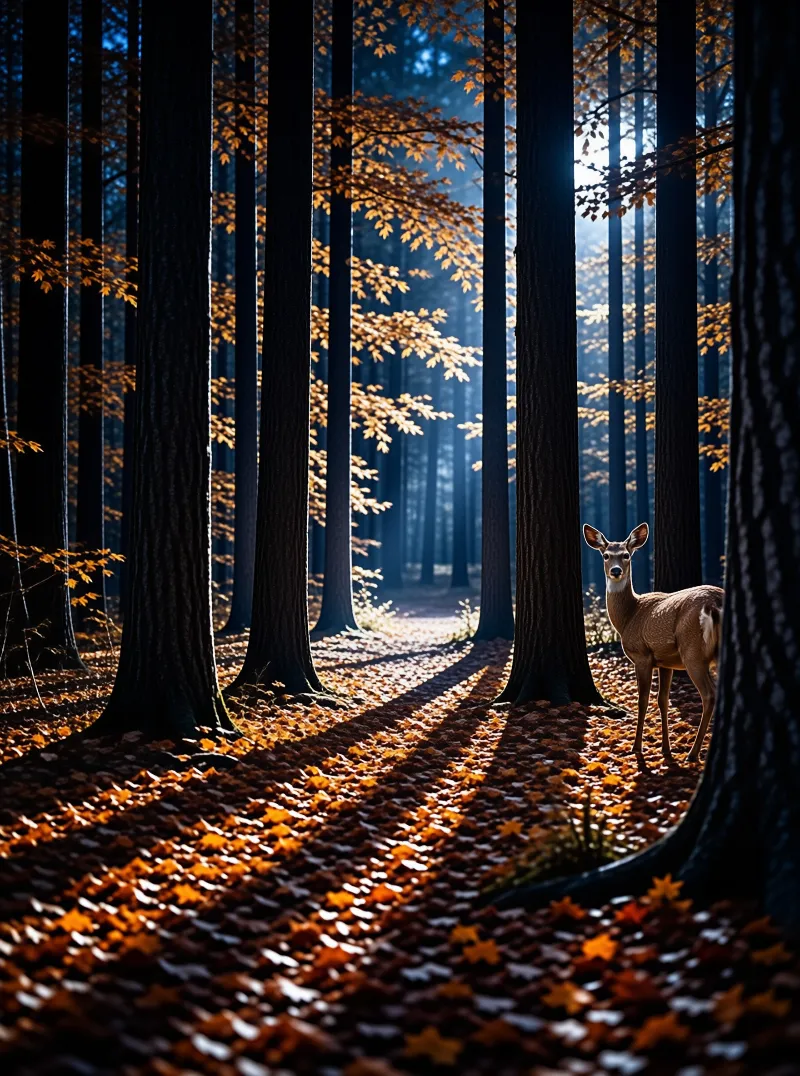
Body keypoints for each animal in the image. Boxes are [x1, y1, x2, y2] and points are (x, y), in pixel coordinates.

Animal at [583, 522, 724, 770]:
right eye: (606, 555)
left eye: (627, 555)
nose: (616, 571)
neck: (629, 616)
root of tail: (714, 604)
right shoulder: (665, 661)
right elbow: (663, 700)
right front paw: (666, 750)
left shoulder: (642, 655)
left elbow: (642, 700)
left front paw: (636, 748)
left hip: (693, 650)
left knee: (709, 695)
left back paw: (693, 753)